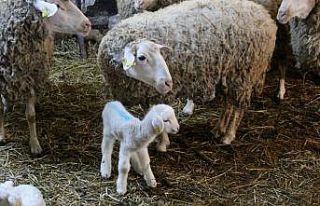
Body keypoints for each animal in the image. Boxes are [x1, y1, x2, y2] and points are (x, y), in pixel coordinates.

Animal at [0, 0, 91, 154]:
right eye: (58, 5)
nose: (88, 24)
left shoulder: (31, 77)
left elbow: (31, 115)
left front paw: (35, 144)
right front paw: (1, 136)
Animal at [97, 0, 278, 145]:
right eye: (141, 57)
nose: (168, 82)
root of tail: (265, 16)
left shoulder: (158, 94)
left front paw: (163, 141)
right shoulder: (147, 94)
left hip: (244, 73)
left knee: (238, 106)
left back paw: (228, 135)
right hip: (229, 74)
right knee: (228, 103)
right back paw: (218, 129)